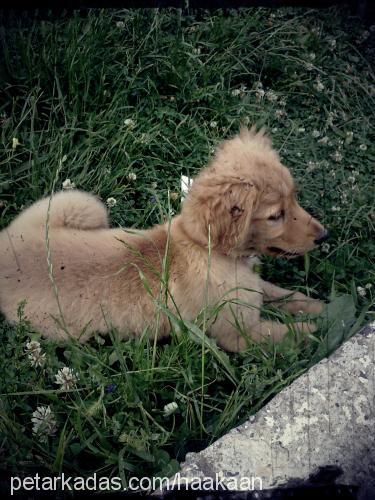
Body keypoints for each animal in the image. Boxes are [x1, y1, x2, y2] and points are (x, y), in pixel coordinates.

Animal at [0, 127, 328, 350]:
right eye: (276, 216)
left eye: (294, 197)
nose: (324, 236)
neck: (204, 247)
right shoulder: (238, 334)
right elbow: (293, 333)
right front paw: (324, 326)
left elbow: (286, 295)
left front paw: (320, 306)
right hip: (67, 331)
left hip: (81, 205)